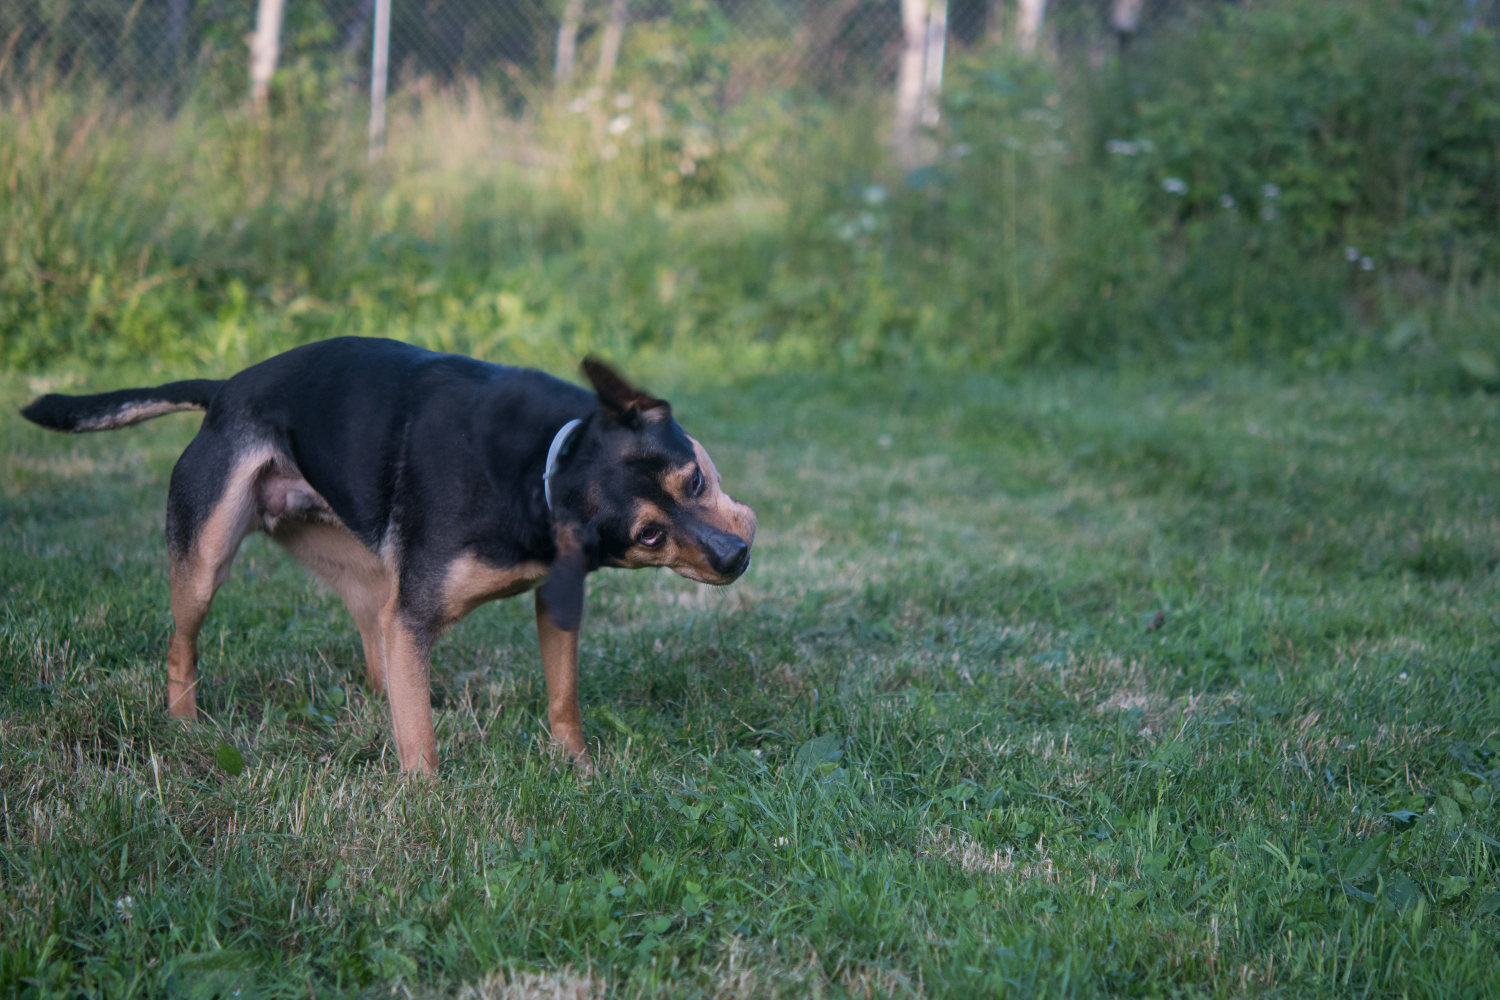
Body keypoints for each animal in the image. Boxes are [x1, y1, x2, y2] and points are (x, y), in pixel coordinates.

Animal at [19, 335, 756, 773]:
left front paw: (577, 766)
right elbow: (421, 743)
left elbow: (562, 696)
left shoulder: (553, 599)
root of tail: (226, 389)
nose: (735, 556)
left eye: (693, 480)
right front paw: (429, 807)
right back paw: (185, 725)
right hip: (205, 556)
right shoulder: (420, 612)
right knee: (182, 645)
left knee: (378, 644)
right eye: (648, 535)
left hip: (365, 572)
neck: (548, 462)